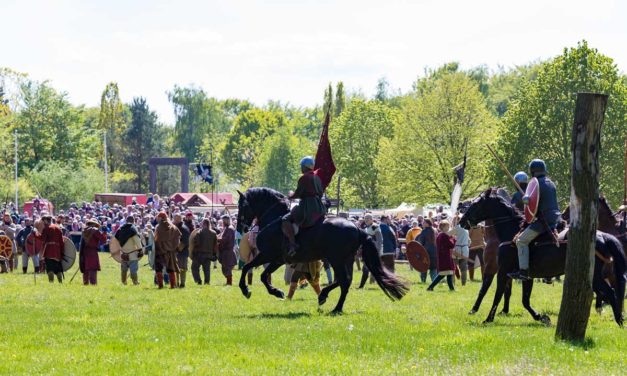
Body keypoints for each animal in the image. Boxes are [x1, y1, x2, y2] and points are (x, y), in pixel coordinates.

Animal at [238, 188, 410, 314]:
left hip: (337, 260)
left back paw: (329, 301)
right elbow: (259, 273)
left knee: (343, 280)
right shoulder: (277, 259)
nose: (242, 228)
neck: (274, 219)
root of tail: (357, 228)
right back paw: (333, 304)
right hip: (345, 260)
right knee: (345, 281)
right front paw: (275, 291)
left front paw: (248, 290)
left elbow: (250, 269)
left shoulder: (269, 255)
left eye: (242, 206)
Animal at [458, 188, 624, 326]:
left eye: (475, 204)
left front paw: (488, 318)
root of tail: (602, 236)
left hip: (595, 276)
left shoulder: (503, 271)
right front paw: (542, 317)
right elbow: (525, 300)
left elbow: (498, 293)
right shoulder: (527, 276)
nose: (461, 221)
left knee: (611, 292)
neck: (511, 231)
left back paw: (619, 321)